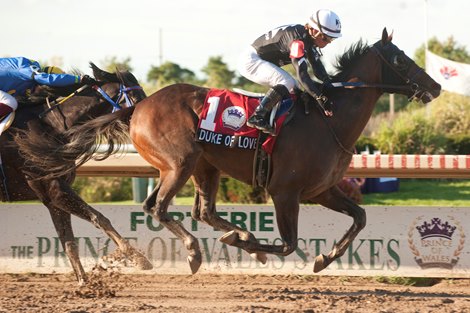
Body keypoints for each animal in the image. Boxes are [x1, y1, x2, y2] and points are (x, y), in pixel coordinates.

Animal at [7, 62, 151, 282]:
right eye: (135, 96)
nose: (148, 120)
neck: (52, 126)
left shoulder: (54, 197)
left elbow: (69, 242)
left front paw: (84, 282)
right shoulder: (53, 189)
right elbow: (99, 218)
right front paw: (137, 258)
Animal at [17, 28, 440, 272]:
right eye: (400, 59)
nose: (435, 87)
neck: (329, 119)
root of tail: (138, 105)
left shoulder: (321, 190)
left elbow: (360, 218)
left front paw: (323, 258)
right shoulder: (284, 192)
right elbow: (289, 243)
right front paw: (248, 244)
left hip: (204, 167)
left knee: (200, 210)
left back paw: (232, 235)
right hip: (179, 163)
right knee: (158, 207)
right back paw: (196, 251)